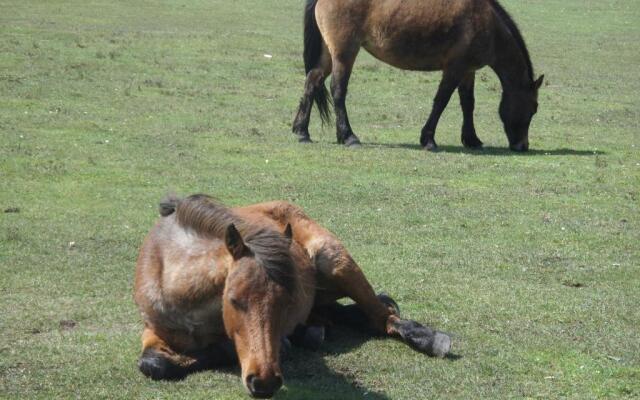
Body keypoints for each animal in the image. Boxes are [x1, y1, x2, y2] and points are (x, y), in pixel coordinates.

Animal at [136, 194, 450, 396]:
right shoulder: (154, 329)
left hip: (334, 259)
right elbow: (153, 364)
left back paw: (429, 338)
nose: (264, 382)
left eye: (287, 303)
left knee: (382, 316)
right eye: (234, 300)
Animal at [292, 0, 544, 152]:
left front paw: (472, 139)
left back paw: (302, 131)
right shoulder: (454, 69)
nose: (523, 145)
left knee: (312, 81)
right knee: (338, 90)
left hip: (329, 54)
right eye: (533, 108)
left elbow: (467, 104)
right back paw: (348, 136)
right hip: (344, 53)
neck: (485, 21)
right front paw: (428, 139)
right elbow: (441, 102)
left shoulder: (467, 71)